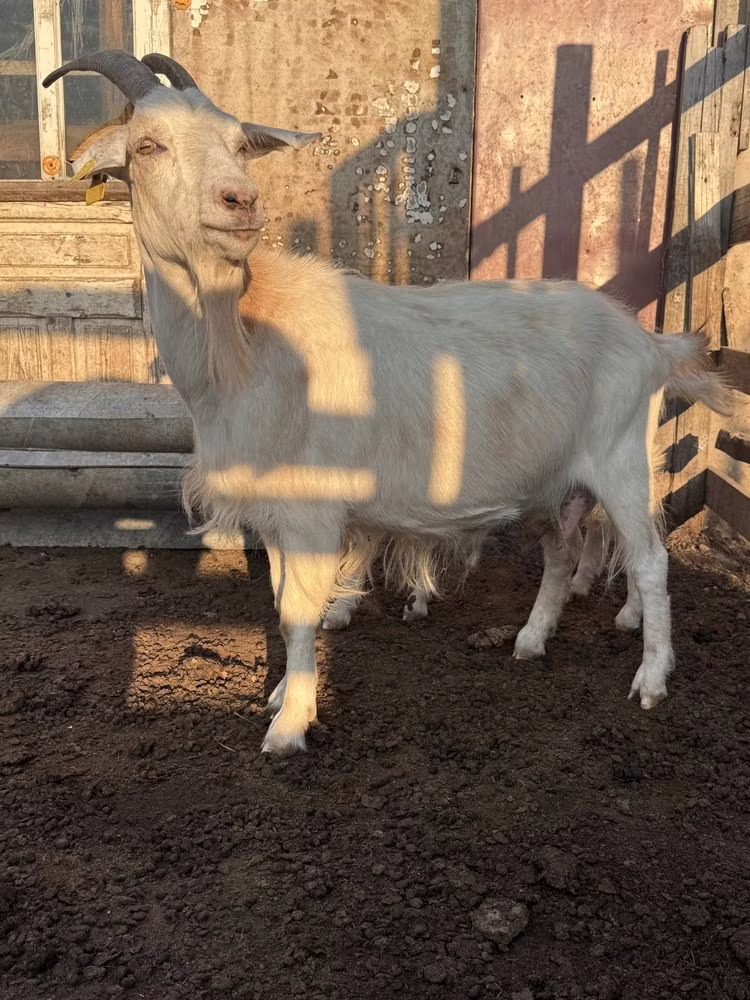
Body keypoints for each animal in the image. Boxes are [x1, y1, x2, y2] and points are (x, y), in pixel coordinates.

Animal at [44, 51, 731, 755]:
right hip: (555, 479)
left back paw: (651, 678)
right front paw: (281, 695)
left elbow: (297, 612)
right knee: (562, 554)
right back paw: (530, 641)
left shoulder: (313, 509)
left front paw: (290, 725)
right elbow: (280, 601)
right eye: (147, 146)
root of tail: (648, 341)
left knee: (650, 561)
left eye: (239, 144)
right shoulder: (274, 512)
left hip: (621, 462)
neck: (245, 342)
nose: (241, 201)